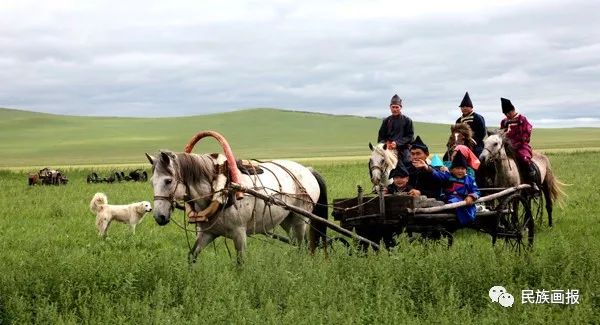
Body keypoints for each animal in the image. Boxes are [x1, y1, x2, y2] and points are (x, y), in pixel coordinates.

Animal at [146, 130, 328, 262]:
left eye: (168, 181)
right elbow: (192, 256)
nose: (159, 217)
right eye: (151, 182)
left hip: (300, 219)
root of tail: (308, 170)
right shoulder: (207, 233)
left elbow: (240, 264)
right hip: (287, 220)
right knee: (298, 244)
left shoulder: (239, 234)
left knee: (303, 246)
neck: (222, 190)